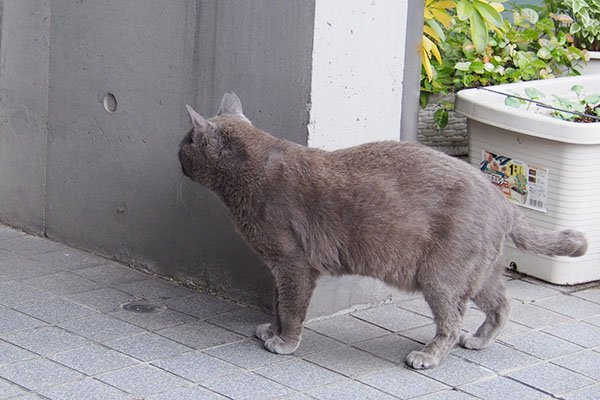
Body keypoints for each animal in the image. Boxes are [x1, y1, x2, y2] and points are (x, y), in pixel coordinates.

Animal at [180, 93, 588, 368]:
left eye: (186, 142)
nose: (177, 153)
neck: (252, 171)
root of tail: (502, 200)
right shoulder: (281, 268)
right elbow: (280, 304)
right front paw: (272, 331)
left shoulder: (293, 263)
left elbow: (292, 307)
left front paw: (285, 342)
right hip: (479, 272)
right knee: (501, 304)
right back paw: (478, 341)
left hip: (442, 276)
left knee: (453, 320)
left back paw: (428, 356)